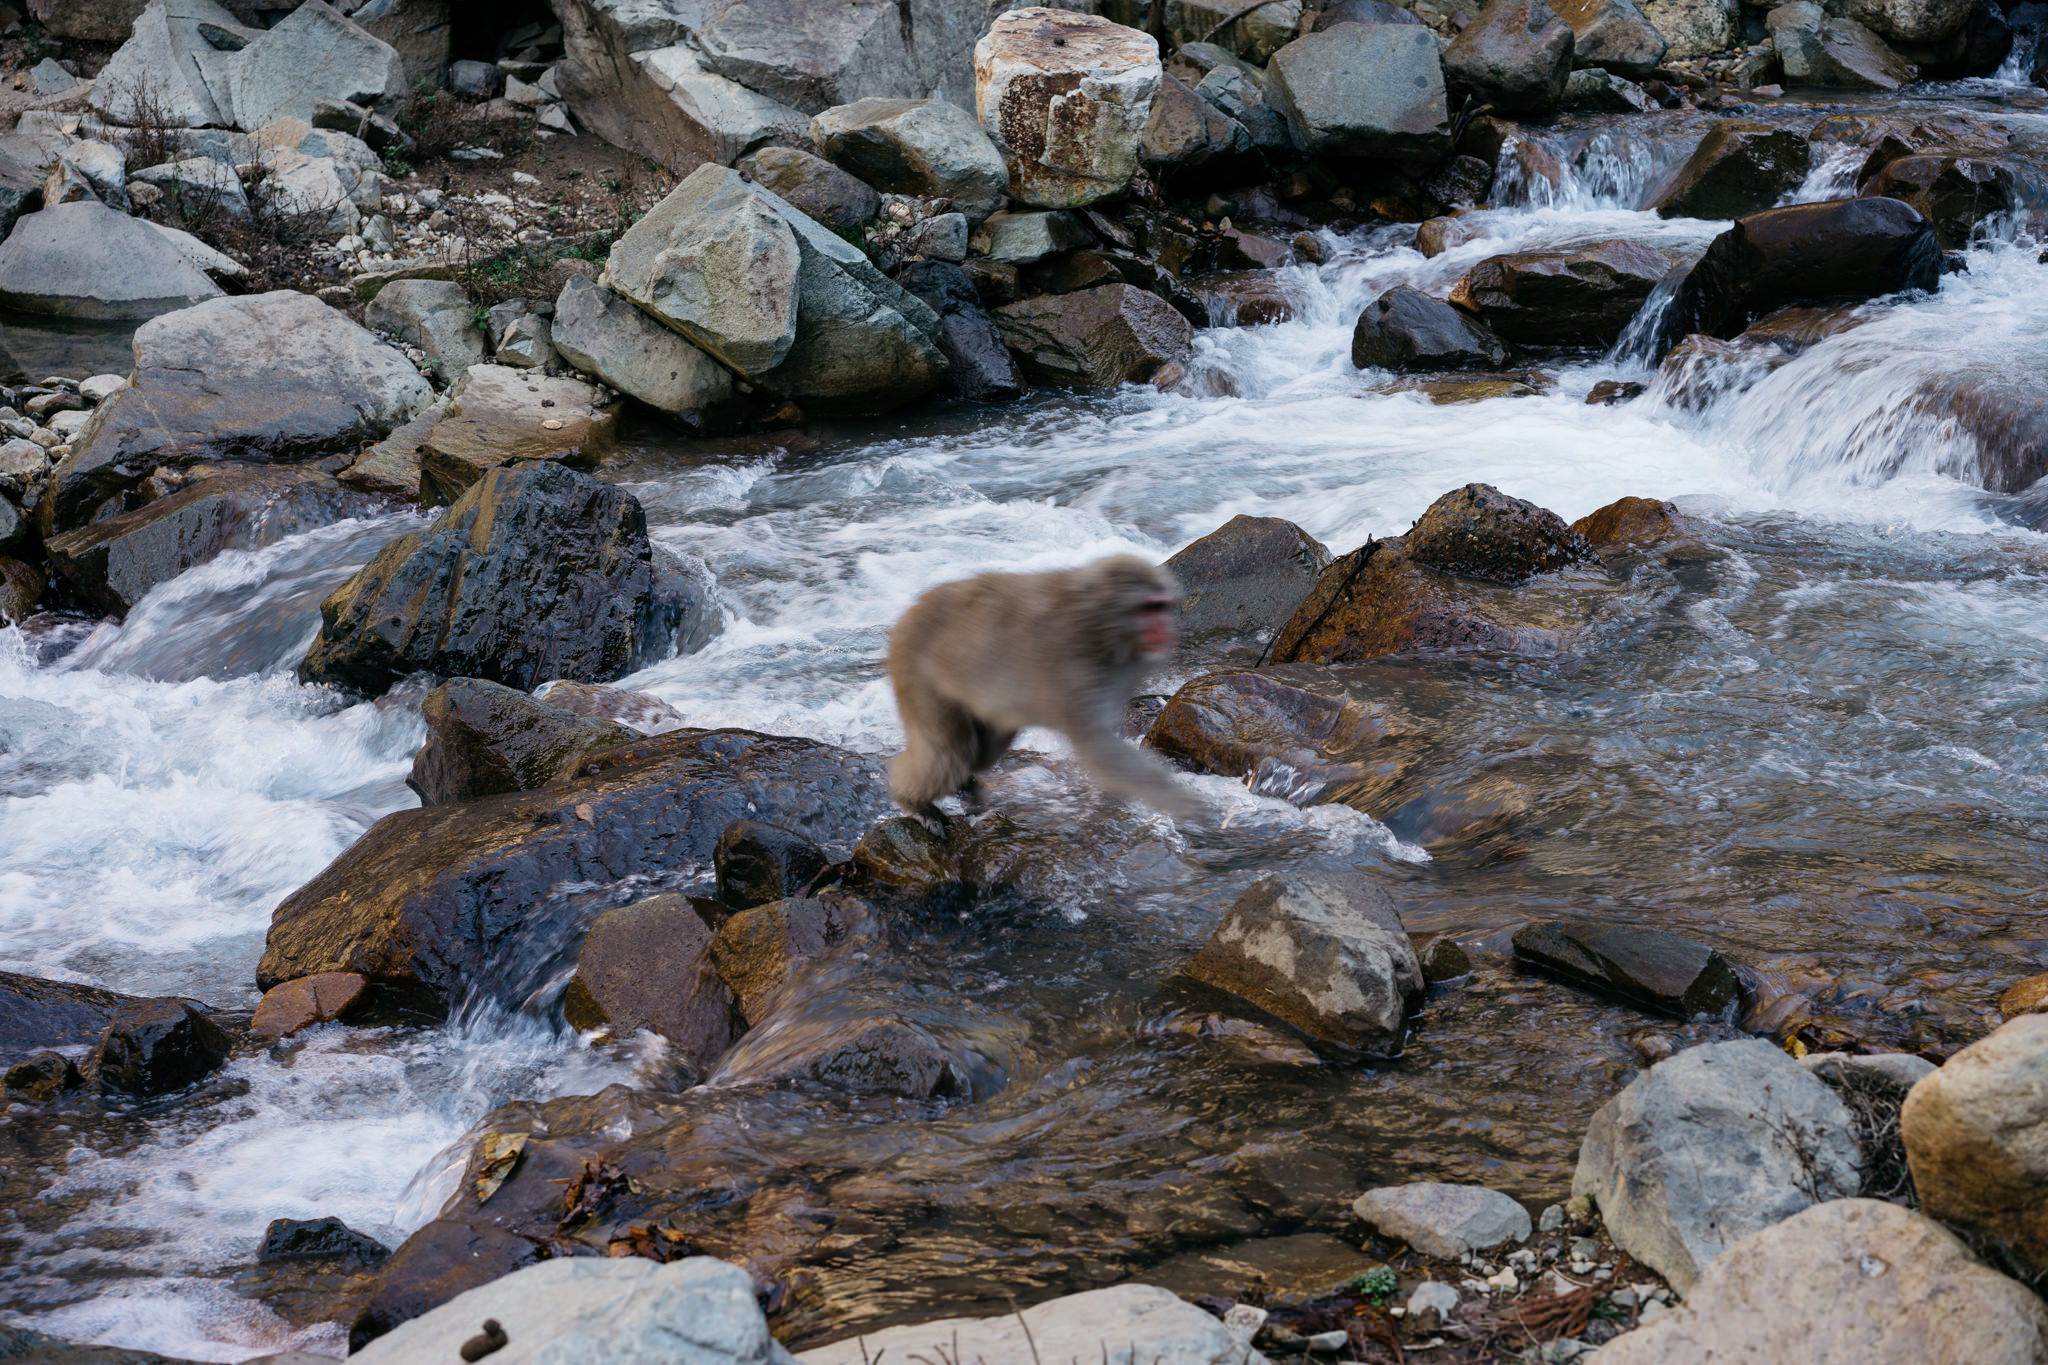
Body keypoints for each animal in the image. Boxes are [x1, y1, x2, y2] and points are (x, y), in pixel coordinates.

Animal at [885, 554, 1195, 828]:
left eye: (1162, 606)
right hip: (917, 674)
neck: (1098, 623)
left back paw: (965, 788)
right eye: (1149, 608)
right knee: (950, 755)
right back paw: (915, 803)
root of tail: (911, 611)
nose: (1166, 628)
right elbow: (1100, 749)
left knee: (984, 750)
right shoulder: (1076, 670)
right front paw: (1190, 807)